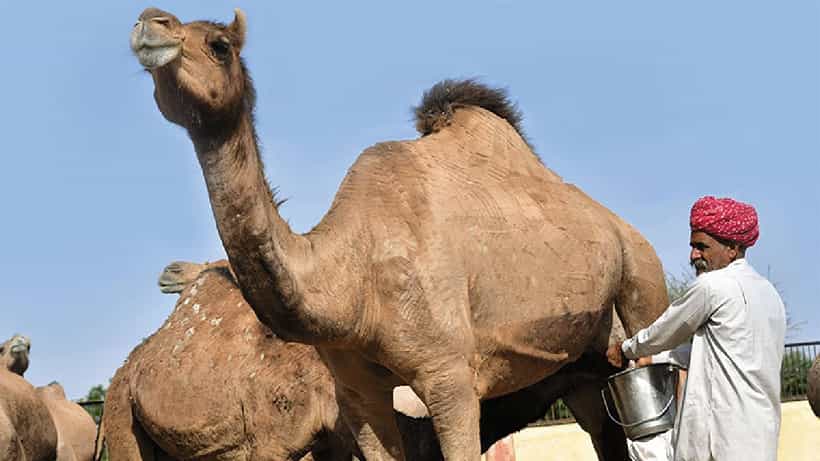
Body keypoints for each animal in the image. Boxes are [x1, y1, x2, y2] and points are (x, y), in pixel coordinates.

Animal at [130, 8, 668, 460]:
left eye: (219, 44)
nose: (149, 22)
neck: (350, 283)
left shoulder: (451, 378)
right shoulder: (357, 396)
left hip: (643, 281)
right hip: (585, 368)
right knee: (604, 430)